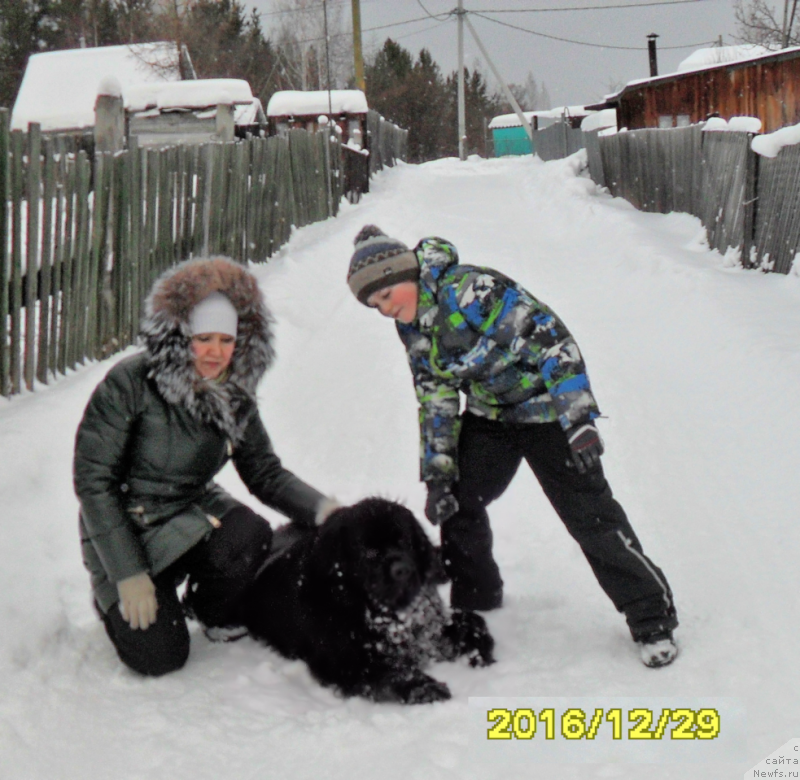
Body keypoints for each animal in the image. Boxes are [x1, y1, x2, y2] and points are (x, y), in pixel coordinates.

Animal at [241, 500, 496, 708]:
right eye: (369, 552)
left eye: (404, 540)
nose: (403, 570)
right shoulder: (345, 662)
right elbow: (390, 672)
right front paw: (426, 687)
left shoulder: (428, 629)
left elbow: (472, 621)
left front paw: (481, 651)